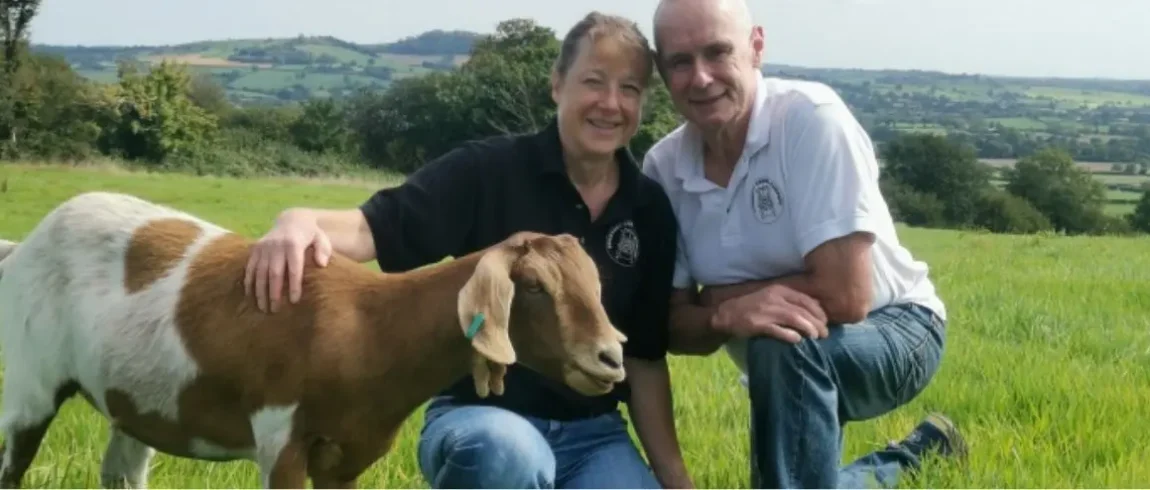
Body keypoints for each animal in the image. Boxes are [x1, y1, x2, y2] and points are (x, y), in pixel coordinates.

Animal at [0, 190, 630, 485]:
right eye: (533, 288)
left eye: (598, 284)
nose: (609, 358)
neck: (369, 328)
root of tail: (23, 246)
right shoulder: (281, 437)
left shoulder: (347, 458)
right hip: (31, 382)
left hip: (133, 403)